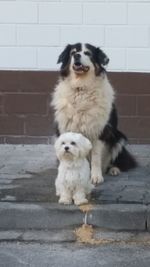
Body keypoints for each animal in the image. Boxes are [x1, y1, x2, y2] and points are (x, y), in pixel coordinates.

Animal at [51, 43, 137, 185]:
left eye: (88, 53)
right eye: (73, 52)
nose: (77, 55)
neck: (81, 88)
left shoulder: (99, 130)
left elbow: (96, 157)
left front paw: (96, 177)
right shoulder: (66, 128)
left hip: (118, 138)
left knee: (119, 161)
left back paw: (114, 169)